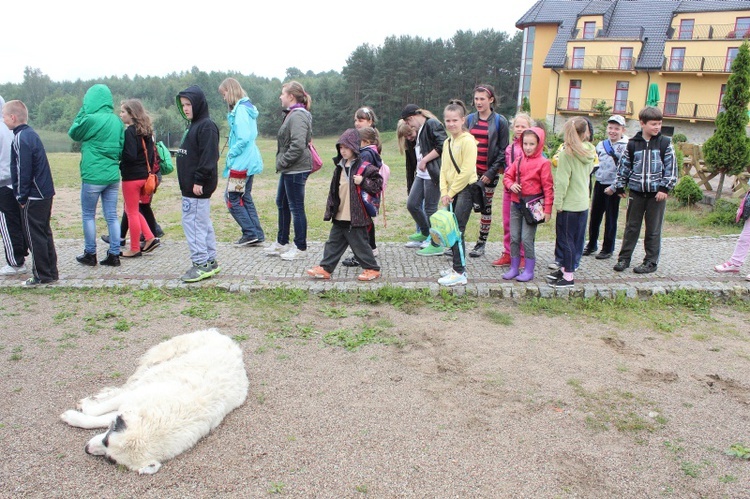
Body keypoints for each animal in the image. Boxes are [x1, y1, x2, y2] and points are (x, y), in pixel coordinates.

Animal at [61, 330, 248, 474]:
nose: (87, 449)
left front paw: (75, 416)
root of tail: (224, 336)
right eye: (106, 439)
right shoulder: (134, 397)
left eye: (110, 459)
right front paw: (80, 411)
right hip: (160, 356)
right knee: (133, 379)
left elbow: (101, 417)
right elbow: (97, 411)